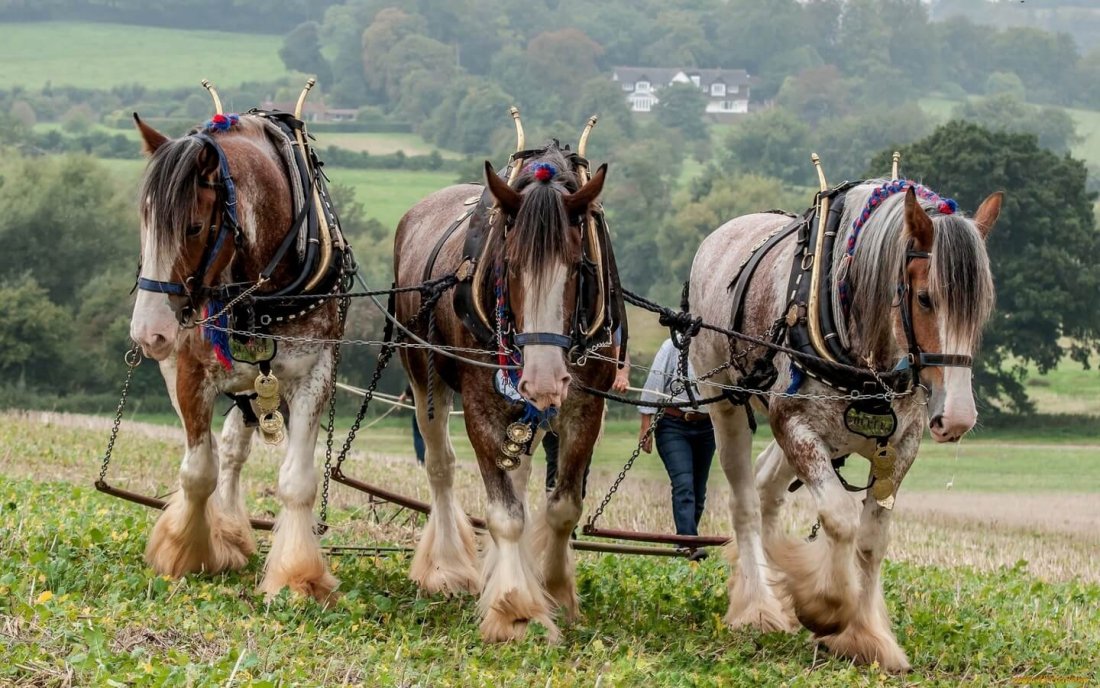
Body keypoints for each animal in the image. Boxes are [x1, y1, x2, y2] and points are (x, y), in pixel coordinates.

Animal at [129, 111, 348, 602]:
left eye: (193, 227)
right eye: (144, 221)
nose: (149, 332)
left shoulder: (314, 376)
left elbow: (296, 482)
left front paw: (298, 577)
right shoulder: (190, 373)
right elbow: (198, 472)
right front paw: (186, 552)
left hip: (256, 390)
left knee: (233, 449)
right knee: (218, 453)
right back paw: (222, 532)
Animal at [393, 141, 621, 641]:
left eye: (578, 267)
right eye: (509, 266)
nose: (543, 379)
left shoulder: (586, 407)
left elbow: (562, 507)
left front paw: (555, 593)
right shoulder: (481, 405)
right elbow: (505, 514)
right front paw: (516, 609)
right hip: (421, 372)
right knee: (441, 466)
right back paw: (446, 568)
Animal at [689, 179, 1001, 671]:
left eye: (981, 308)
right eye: (925, 297)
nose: (956, 418)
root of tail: (722, 234)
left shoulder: (900, 447)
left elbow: (872, 541)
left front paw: (866, 635)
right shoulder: (794, 424)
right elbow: (839, 518)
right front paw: (826, 607)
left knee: (767, 489)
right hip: (726, 405)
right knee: (747, 503)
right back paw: (758, 606)